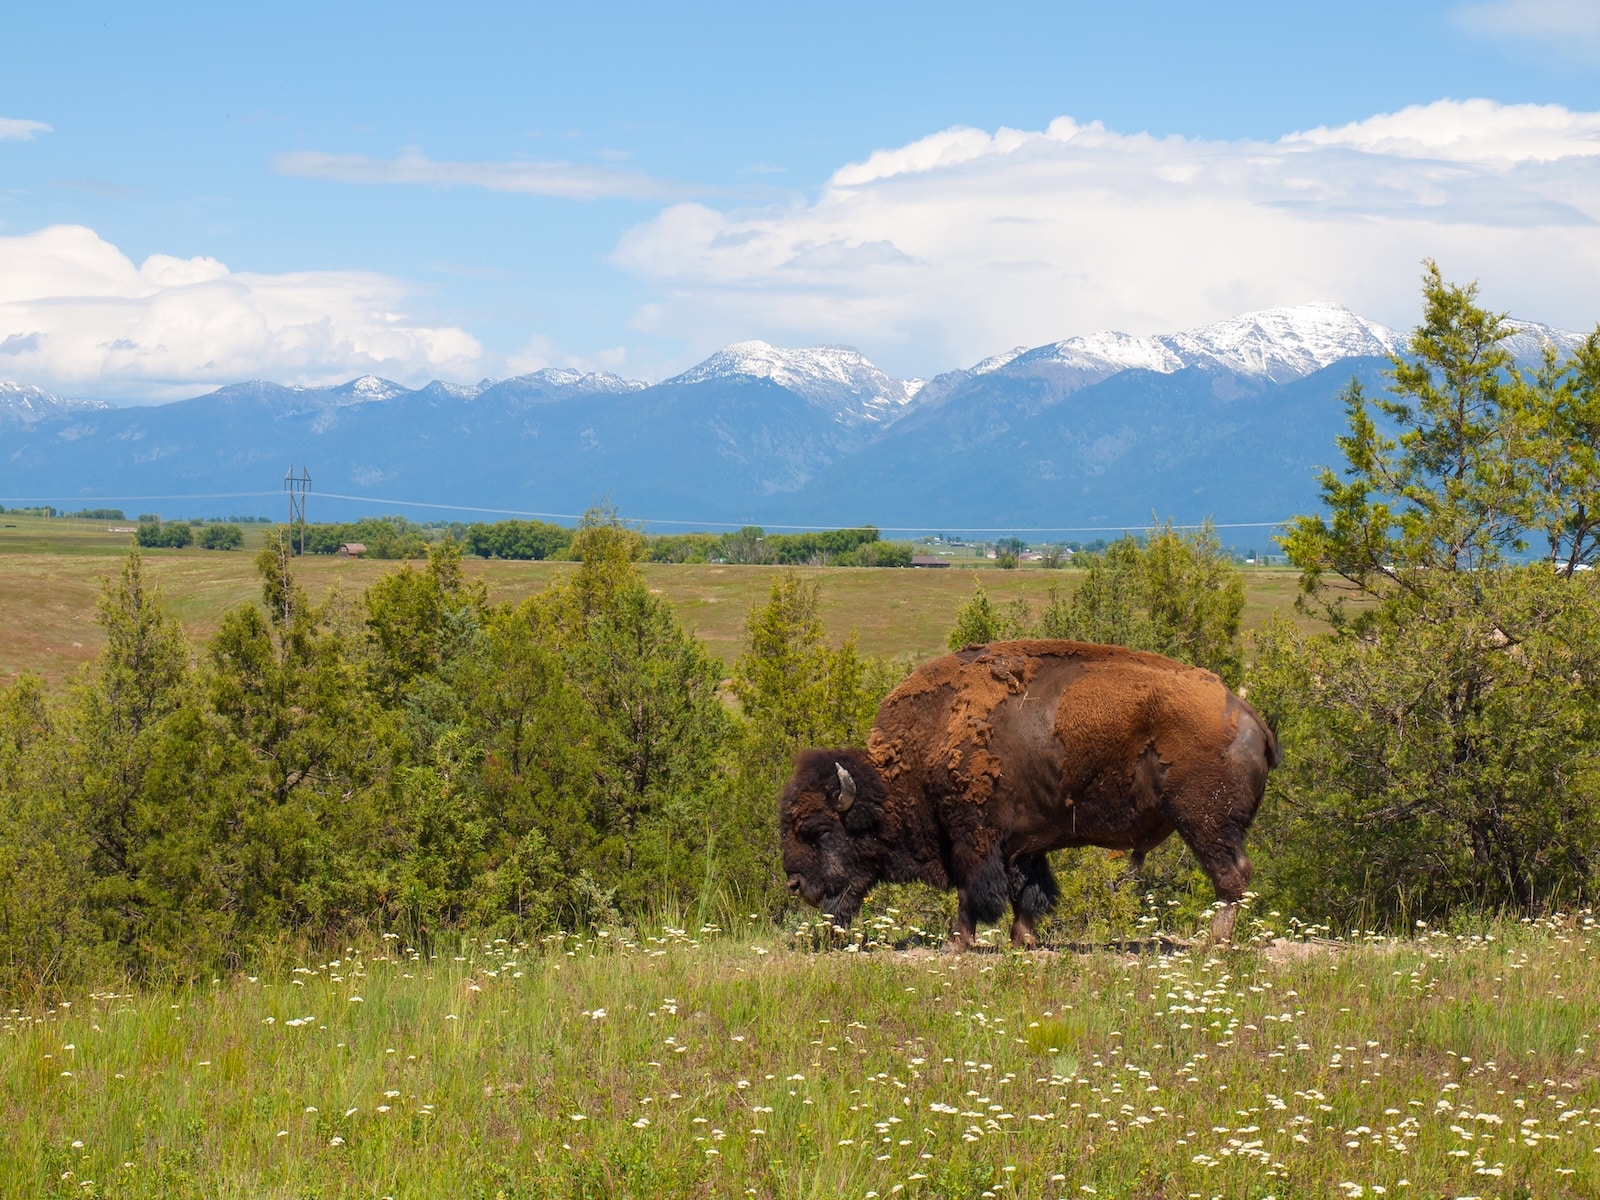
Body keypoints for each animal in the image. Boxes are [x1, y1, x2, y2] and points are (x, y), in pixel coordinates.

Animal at [779, 640, 1278, 947]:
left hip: (1204, 823)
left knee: (1231, 876)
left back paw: (1213, 942)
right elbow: (1029, 892)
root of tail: (1249, 715)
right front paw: (1025, 940)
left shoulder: (975, 837)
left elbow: (975, 891)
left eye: (817, 831)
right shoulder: (1025, 844)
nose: (795, 885)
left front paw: (958, 942)